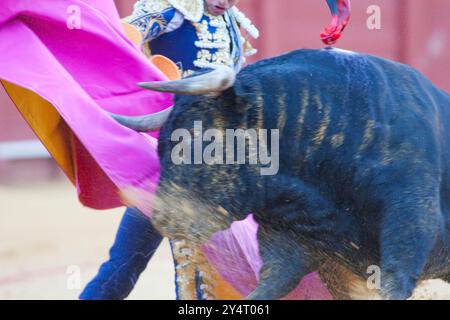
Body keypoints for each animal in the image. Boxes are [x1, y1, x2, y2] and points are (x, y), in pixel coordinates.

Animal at [121, 48, 450, 298]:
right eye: (160, 147)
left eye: (197, 142)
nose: (164, 220)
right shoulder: (288, 243)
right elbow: (268, 285)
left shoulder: (408, 228)